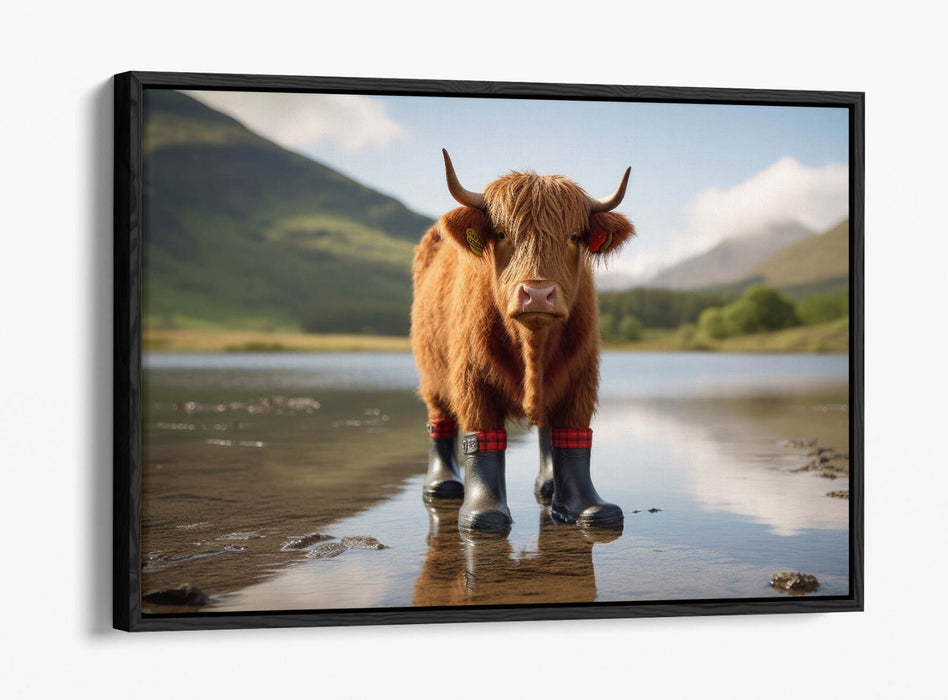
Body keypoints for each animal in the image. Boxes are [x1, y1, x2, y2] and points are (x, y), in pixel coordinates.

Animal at [411, 149, 635, 533]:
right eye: (501, 233)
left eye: (573, 236)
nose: (538, 294)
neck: (532, 343)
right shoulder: (472, 379)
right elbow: (482, 439)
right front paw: (484, 515)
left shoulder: (581, 376)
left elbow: (573, 435)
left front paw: (586, 509)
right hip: (431, 377)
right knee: (439, 422)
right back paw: (442, 486)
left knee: (546, 429)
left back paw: (548, 487)